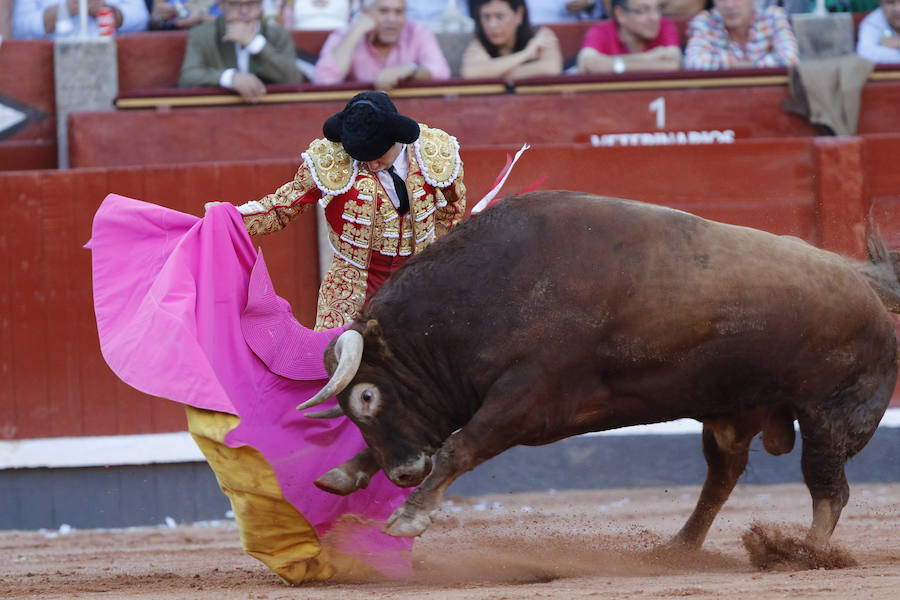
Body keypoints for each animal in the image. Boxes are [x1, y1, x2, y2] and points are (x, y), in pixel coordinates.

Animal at [298, 192, 896, 548]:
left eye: (368, 397)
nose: (402, 473)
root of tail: (866, 285)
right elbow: (441, 439)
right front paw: (344, 474)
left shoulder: (525, 401)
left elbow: (458, 448)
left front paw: (409, 517)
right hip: (732, 413)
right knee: (722, 477)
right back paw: (678, 548)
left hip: (829, 417)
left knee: (828, 489)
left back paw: (807, 554)